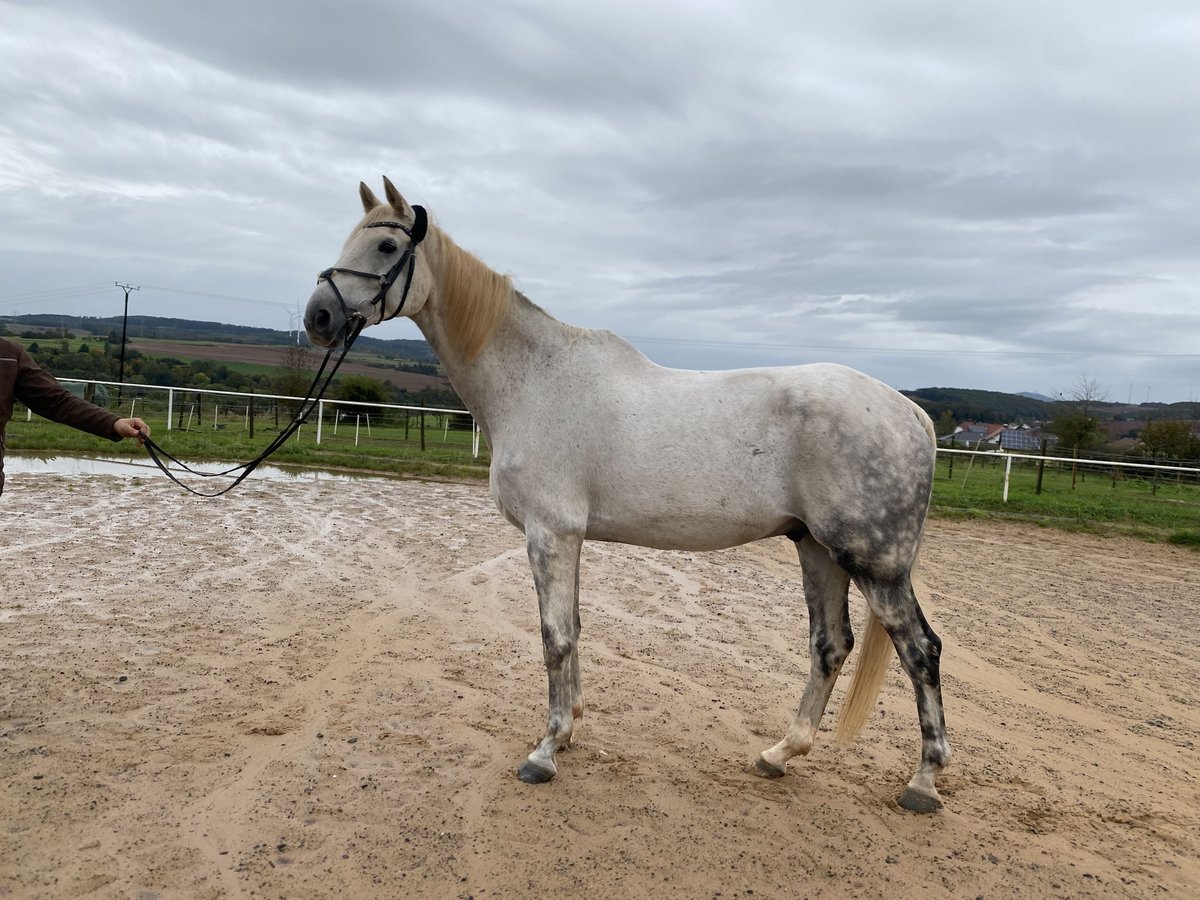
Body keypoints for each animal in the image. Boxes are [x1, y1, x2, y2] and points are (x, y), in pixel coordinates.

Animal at [304, 177, 950, 816]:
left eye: (387, 247)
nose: (318, 316)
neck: (535, 381)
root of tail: (911, 413)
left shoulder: (550, 533)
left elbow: (556, 638)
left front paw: (545, 751)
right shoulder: (568, 538)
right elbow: (573, 629)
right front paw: (570, 729)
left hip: (876, 563)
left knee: (921, 650)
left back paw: (923, 783)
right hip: (817, 550)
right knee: (830, 646)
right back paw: (779, 754)